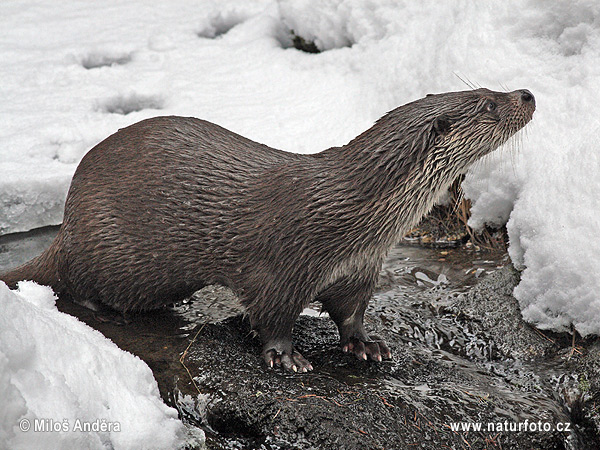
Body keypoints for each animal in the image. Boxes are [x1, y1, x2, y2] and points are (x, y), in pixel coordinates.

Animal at [0, 88, 536, 372]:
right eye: (487, 102)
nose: (527, 93)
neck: (356, 217)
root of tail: (68, 221)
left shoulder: (359, 271)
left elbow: (351, 314)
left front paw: (366, 344)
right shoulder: (281, 269)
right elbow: (272, 316)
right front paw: (288, 358)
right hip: (103, 243)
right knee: (76, 281)